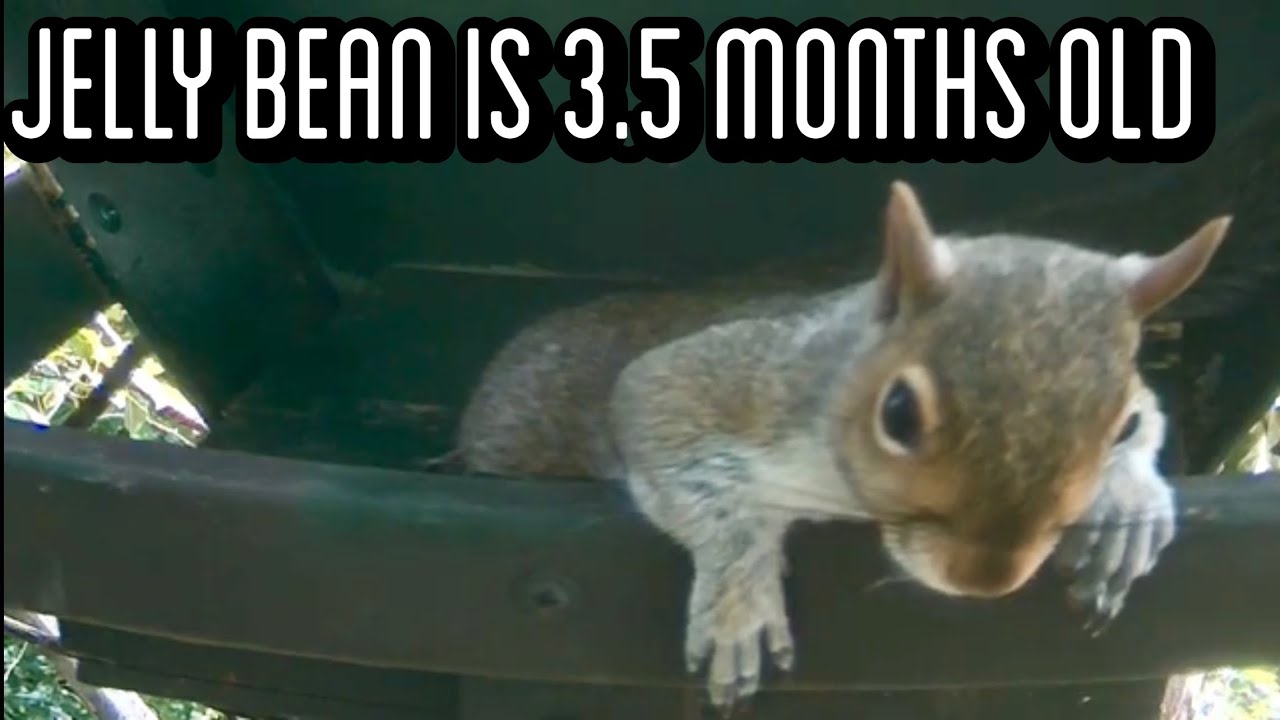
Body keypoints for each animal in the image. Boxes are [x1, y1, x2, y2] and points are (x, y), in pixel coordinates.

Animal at [457, 180, 1231, 712]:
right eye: (898, 413)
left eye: (1120, 425)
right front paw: (740, 599)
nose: (986, 578)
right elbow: (658, 405)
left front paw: (1123, 508)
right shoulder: (743, 381)